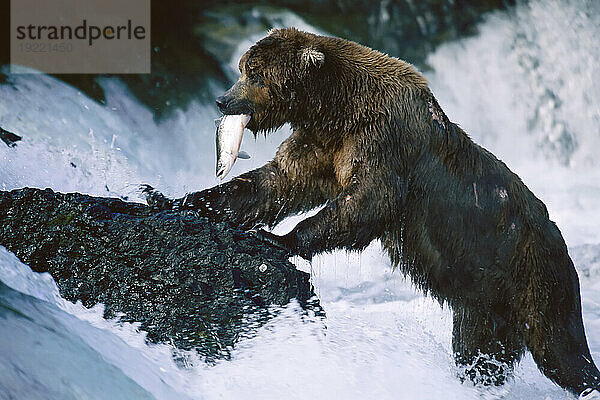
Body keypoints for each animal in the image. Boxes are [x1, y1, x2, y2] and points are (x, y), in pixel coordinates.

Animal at [144, 28, 600, 396]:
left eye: (254, 72)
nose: (223, 99)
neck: (332, 107)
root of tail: (562, 245)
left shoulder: (382, 137)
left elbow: (368, 201)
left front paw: (280, 238)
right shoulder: (321, 143)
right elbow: (274, 183)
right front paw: (169, 197)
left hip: (533, 278)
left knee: (560, 351)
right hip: (483, 304)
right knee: (478, 352)